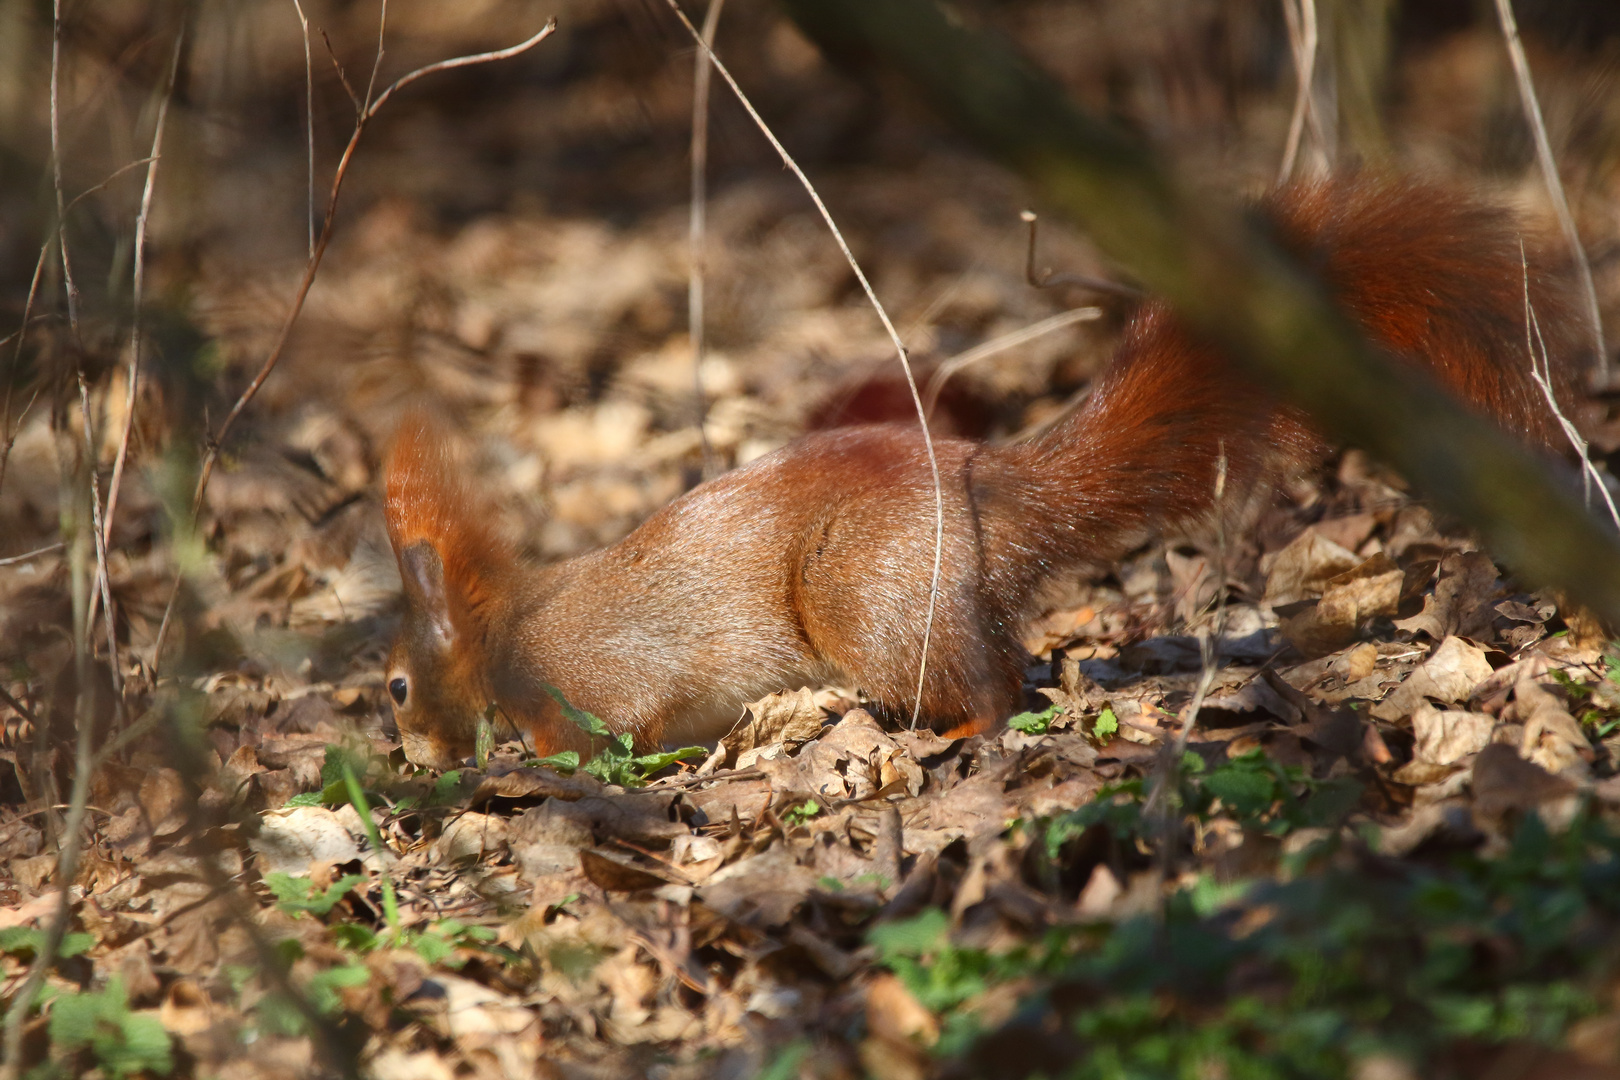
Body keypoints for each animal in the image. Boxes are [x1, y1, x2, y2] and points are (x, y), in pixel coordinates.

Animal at [382, 179, 1581, 767]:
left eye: (395, 685)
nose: (405, 757)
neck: (502, 630)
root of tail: (995, 488)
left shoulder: (589, 672)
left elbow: (608, 729)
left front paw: (525, 770)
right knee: (1013, 664)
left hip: (865, 598)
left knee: (994, 691)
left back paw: (950, 733)